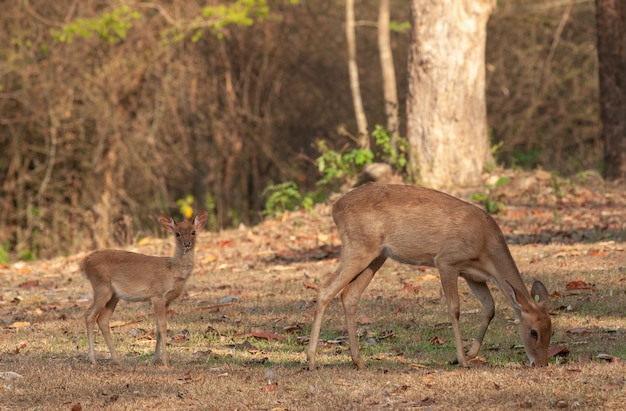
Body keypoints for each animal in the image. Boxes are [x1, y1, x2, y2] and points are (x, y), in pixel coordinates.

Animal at [79, 211, 207, 368]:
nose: (186, 243)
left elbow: (158, 327)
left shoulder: (167, 300)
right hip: (101, 287)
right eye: (177, 233)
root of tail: (84, 264)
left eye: (193, 232)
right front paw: (166, 362)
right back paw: (93, 359)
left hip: (113, 295)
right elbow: (163, 326)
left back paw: (116, 359)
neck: (173, 271)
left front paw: (155, 359)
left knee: (102, 320)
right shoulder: (157, 294)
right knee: (89, 316)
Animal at [308, 183, 552, 370]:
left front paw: (467, 354)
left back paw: (358, 361)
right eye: (533, 332)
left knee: (349, 295)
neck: (485, 247)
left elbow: (490, 307)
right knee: (325, 290)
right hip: (358, 247)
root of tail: (335, 208)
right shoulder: (446, 261)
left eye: (551, 329)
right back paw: (311, 361)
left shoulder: (473, 275)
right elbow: (455, 308)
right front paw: (462, 360)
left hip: (377, 256)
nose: (541, 364)